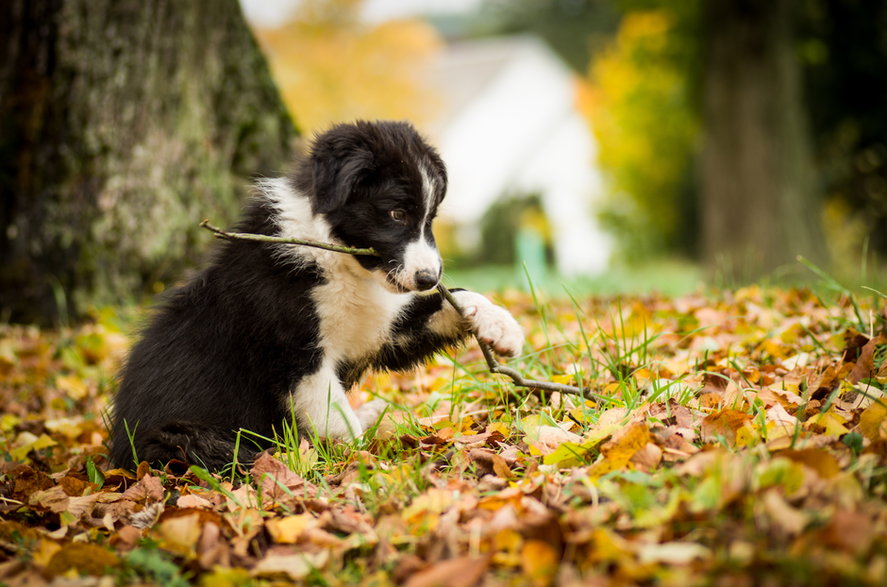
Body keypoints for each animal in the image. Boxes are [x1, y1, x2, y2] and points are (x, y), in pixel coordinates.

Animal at [109, 121, 528, 470]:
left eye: (430, 219)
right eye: (396, 213)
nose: (427, 278)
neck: (339, 263)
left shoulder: (379, 332)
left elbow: (448, 301)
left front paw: (500, 325)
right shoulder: (295, 357)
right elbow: (336, 417)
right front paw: (366, 466)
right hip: (180, 439)